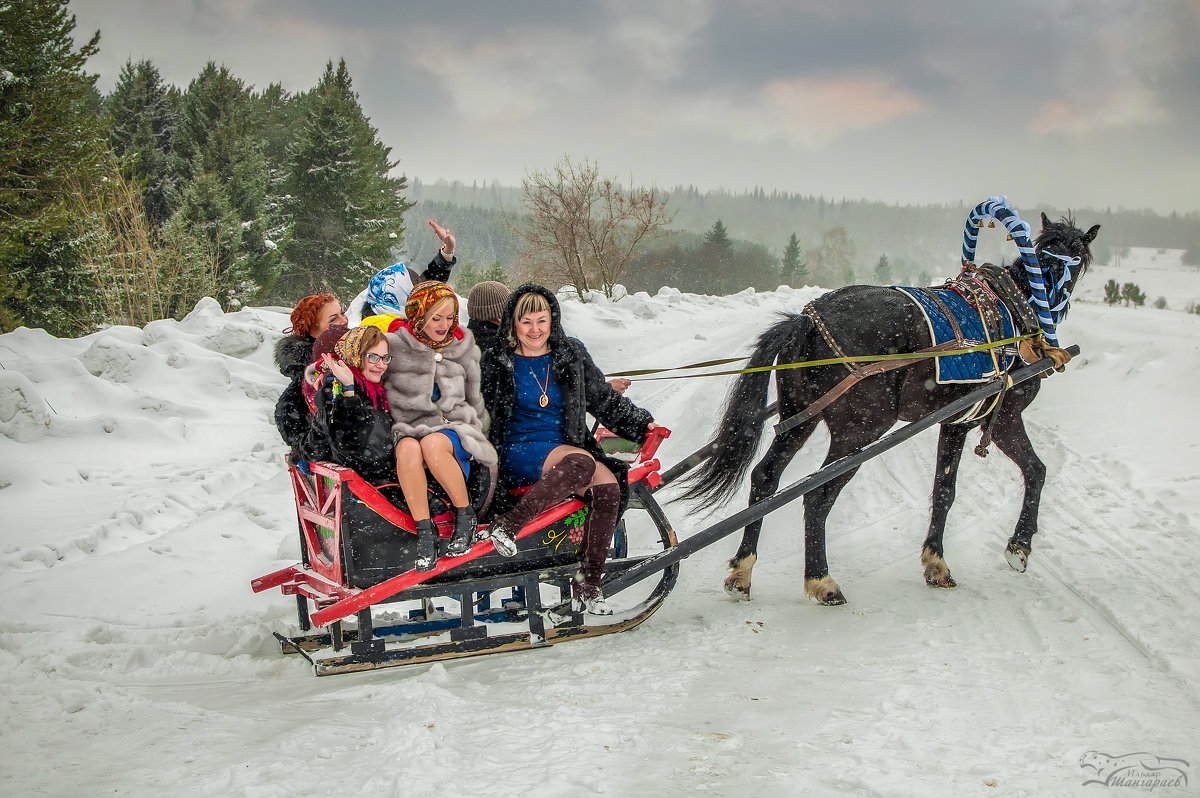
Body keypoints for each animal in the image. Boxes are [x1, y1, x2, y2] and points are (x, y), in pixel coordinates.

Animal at [676, 211, 1099, 604]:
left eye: (1074, 257)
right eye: (1051, 254)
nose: (1051, 299)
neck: (1015, 306)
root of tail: (806, 321)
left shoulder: (958, 422)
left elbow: (949, 488)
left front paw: (937, 562)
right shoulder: (1007, 416)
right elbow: (1033, 472)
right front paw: (1019, 546)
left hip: (799, 418)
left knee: (765, 478)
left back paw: (742, 572)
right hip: (859, 432)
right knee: (817, 494)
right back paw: (821, 579)